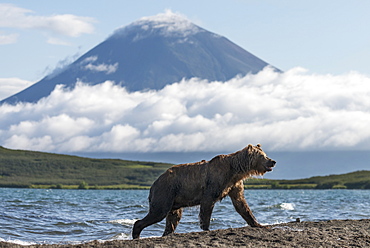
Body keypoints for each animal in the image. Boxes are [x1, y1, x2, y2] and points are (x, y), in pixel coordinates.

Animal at [132, 144, 274, 239]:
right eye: (263, 156)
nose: (273, 161)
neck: (236, 171)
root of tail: (154, 183)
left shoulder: (234, 185)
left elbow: (241, 205)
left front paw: (259, 224)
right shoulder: (215, 182)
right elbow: (207, 204)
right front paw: (207, 228)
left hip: (174, 199)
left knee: (173, 218)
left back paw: (167, 233)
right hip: (165, 191)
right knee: (158, 212)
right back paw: (136, 233)